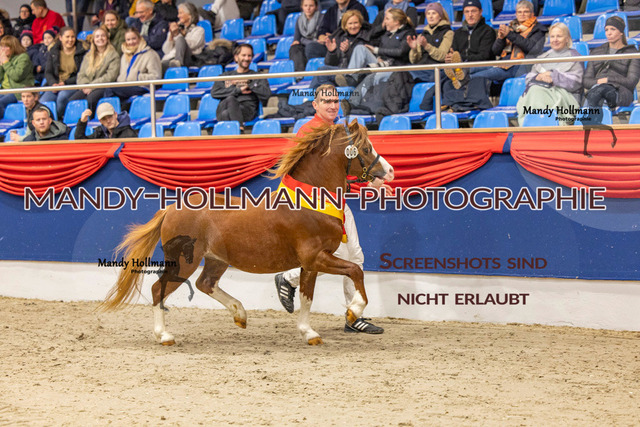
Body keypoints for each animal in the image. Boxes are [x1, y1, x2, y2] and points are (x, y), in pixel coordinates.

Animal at [100, 121, 394, 346]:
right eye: (366, 148)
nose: (390, 171)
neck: (309, 201)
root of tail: (171, 209)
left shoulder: (310, 264)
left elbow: (306, 297)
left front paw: (309, 333)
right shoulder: (316, 257)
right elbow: (356, 270)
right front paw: (353, 312)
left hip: (216, 260)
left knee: (205, 284)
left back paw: (240, 314)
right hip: (183, 262)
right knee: (158, 289)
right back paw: (164, 336)